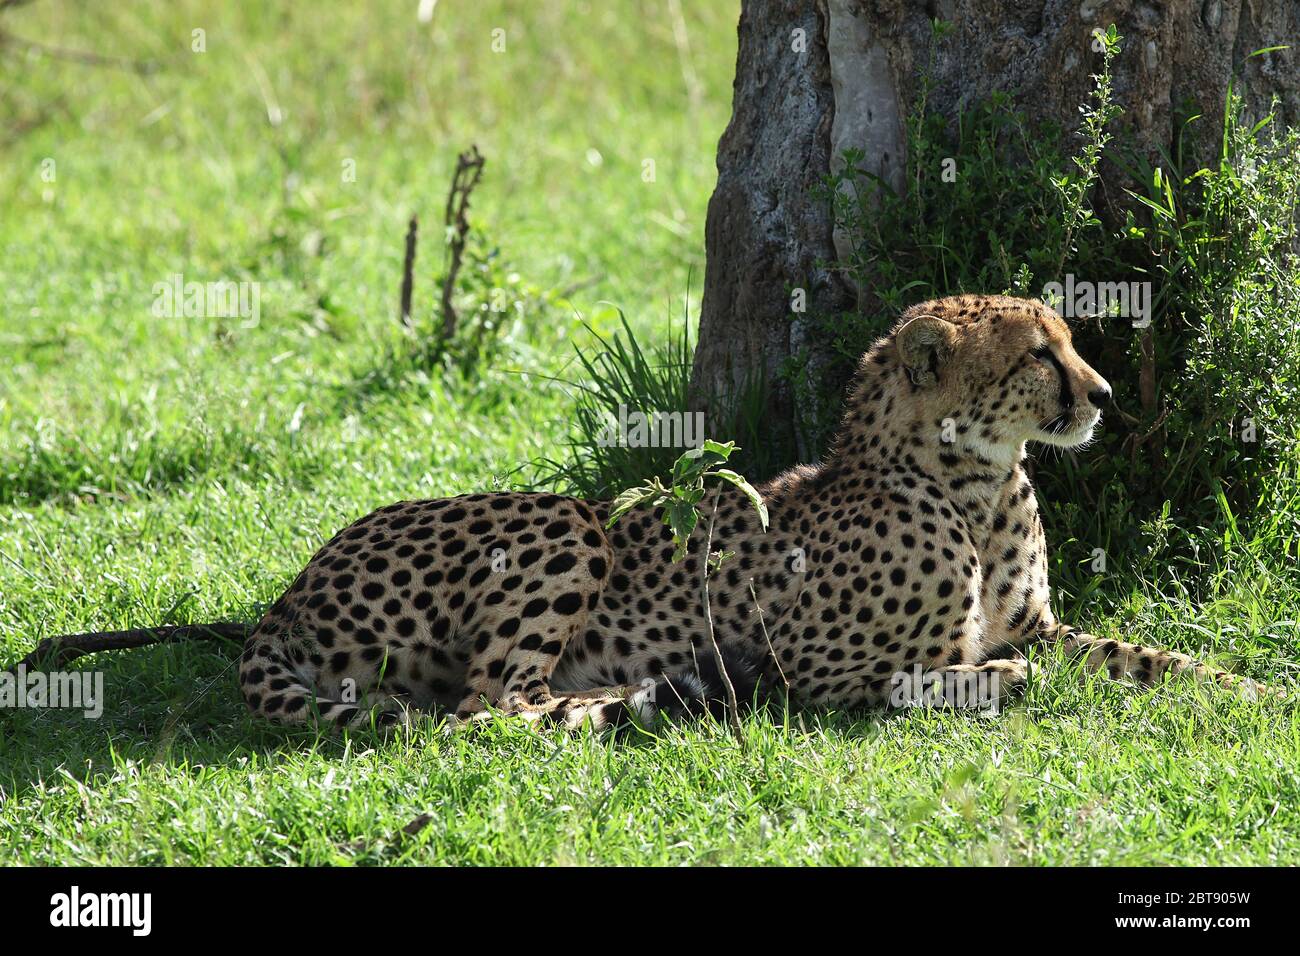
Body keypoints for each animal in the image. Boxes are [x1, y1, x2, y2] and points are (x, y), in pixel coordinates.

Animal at [239, 295, 1274, 728]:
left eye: (1068, 340)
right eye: (1036, 355)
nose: (1102, 395)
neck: (971, 482)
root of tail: (290, 590)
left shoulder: (1042, 625)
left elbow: (1143, 657)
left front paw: (1251, 689)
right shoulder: (812, 665)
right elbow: (959, 676)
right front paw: (993, 684)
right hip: (565, 521)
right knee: (484, 705)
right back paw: (633, 700)